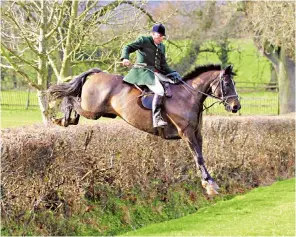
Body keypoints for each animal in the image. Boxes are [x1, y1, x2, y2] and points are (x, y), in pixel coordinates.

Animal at [48, 64, 240, 195]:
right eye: (226, 84)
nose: (236, 106)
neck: (188, 96)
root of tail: (98, 73)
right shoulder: (186, 133)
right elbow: (198, 157)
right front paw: (209, 185)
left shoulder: (197, 133)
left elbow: (200, 156)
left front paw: (210, 182)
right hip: (92, 110)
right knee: (72, 99)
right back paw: (62, 119)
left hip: (99, 112)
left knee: (74, 102)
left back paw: (65, 119)